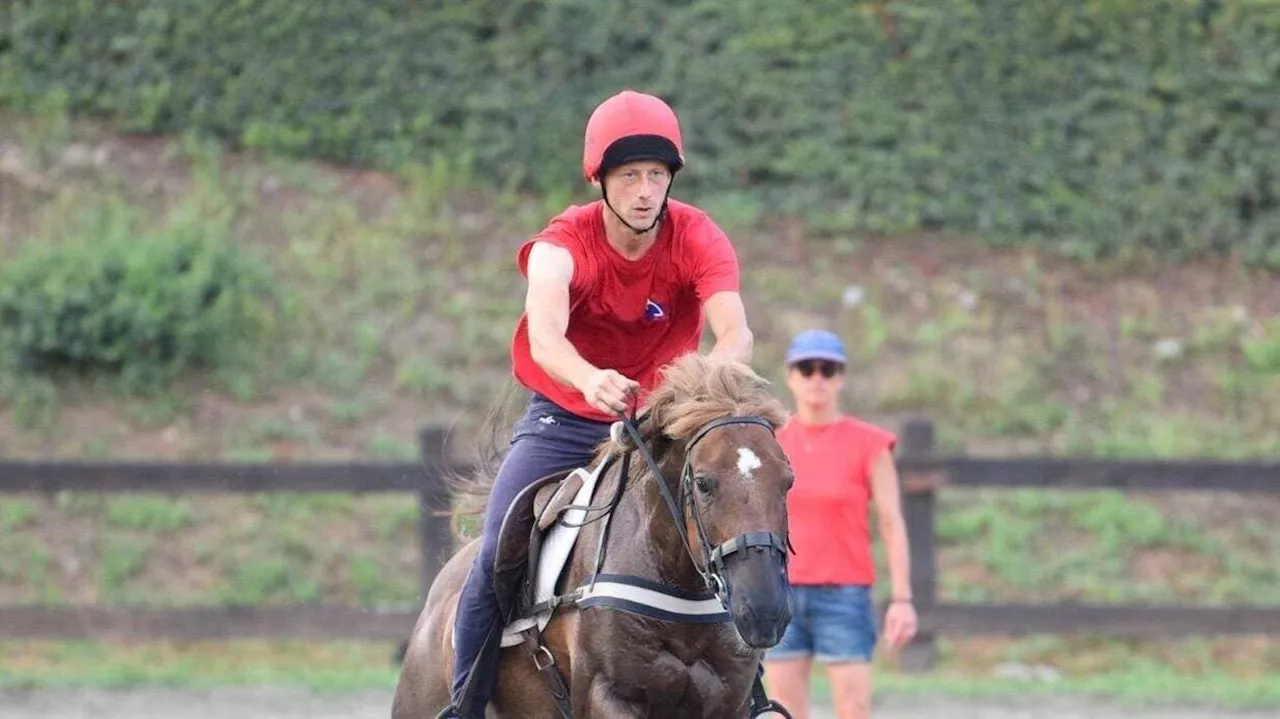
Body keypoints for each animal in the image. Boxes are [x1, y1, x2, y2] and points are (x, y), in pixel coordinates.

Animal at [389, 353, 793, 716]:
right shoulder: (607, 694)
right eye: (705, 484)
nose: (763, 611)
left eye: (788, 481)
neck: (676, 581)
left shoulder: (726, 701)